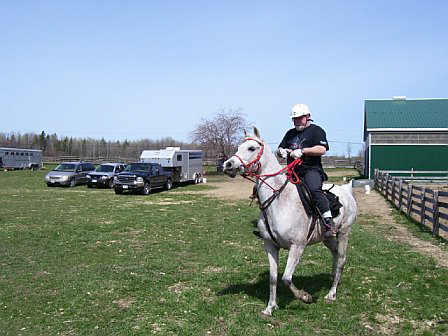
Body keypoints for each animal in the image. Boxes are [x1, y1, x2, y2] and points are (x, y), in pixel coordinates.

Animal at [223, 127, 356, 316]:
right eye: (238, 147)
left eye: (251, 148)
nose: (228, 165)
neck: (279, 201)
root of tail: (346, 190)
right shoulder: (270, 245)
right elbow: (273, 278)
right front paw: (270, 307)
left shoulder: (297, 246)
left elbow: (286, 278)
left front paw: (305, 297)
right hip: (328, 237)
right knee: (336, 255)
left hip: (344, 233)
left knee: (342, 260)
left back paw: (331, 293)